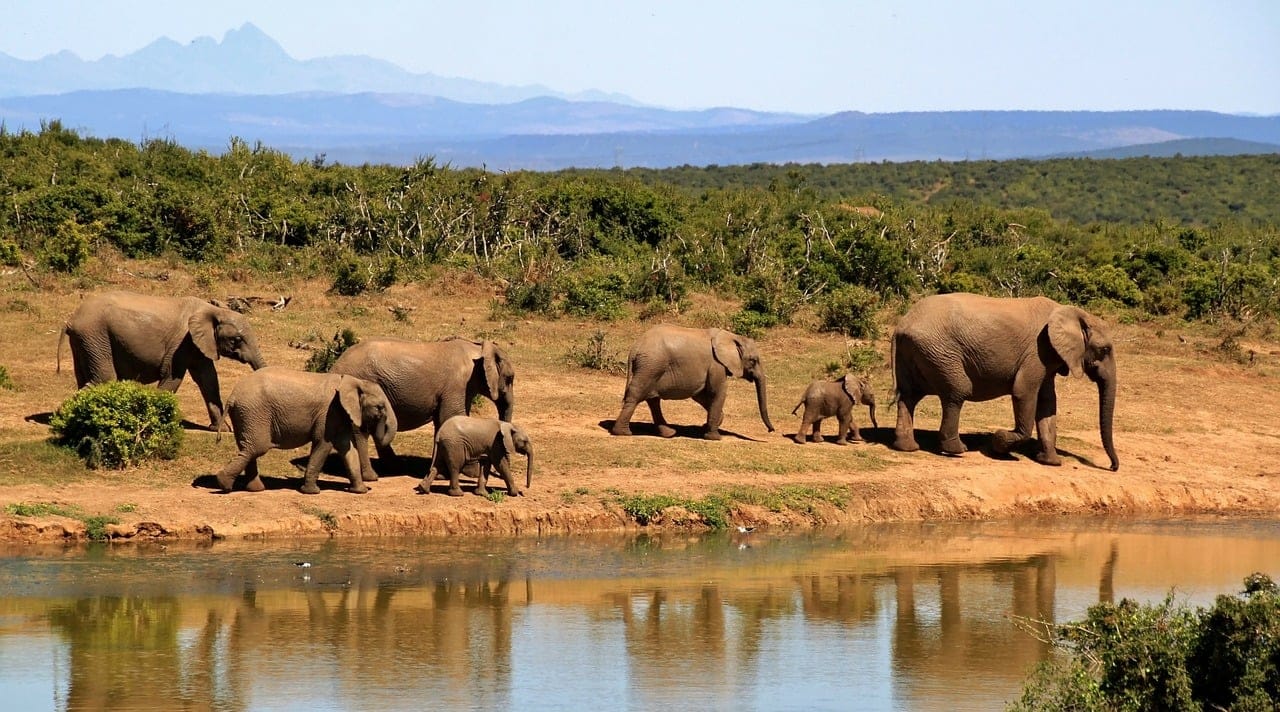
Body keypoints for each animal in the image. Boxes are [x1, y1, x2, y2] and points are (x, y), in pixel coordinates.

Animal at [58, 290, 266, 427]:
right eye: (237, 340)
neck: (212, 310)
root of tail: (70, 321)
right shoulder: (182, 343)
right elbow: (173, 378)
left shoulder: (199, 345)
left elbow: (208, 380)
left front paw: (221, 429)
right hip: (95, 336)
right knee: (104, 378)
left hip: (85, 341)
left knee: (86, 378)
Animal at [215, 366, 396, 494]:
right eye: (379, 407)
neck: (352, 381)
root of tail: (232, 396)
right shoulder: (329, 413)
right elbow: (323, 444)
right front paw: (312, 492)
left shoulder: (339, 414)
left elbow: (347, 448)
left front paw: (360, 491)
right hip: (254, 413)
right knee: (256, 447)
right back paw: (223, 483)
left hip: (245, 415)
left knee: (248, 448)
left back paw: (255, 489)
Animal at [330, 335, 514, 476]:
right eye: (510, 378)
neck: (477, 348)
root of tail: (334, 367)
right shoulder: (457, 385)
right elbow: (452, 416)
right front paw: (471, 473)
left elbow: (443, 421)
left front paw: (441, 473)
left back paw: (395, 467)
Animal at [611, 326, 778, 440]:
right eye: (753, 361)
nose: (772, 430)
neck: (731, 336)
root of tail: (634, 348)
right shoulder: (716, 365)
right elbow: (718, 392)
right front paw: (714, 437)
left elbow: (700, 395)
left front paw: (708, 425)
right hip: (651, 365)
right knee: (636, 395)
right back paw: (623, 433)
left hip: (651, 367)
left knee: (653, 399)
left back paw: (669, 434)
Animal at [890, 291, 1121, 471]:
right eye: (1105, 349)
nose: (1112, 467)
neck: (1072, 312)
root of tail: (901, 325)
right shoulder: (1037, 352)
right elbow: (1024, 392)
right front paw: (998, 443)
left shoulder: (1048, 358)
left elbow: (1048, 403)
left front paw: (1051, 462)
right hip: (939, 352)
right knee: (957, 391)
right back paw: (957, 450)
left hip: (917, 352)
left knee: (909, 396)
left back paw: (907, 447)